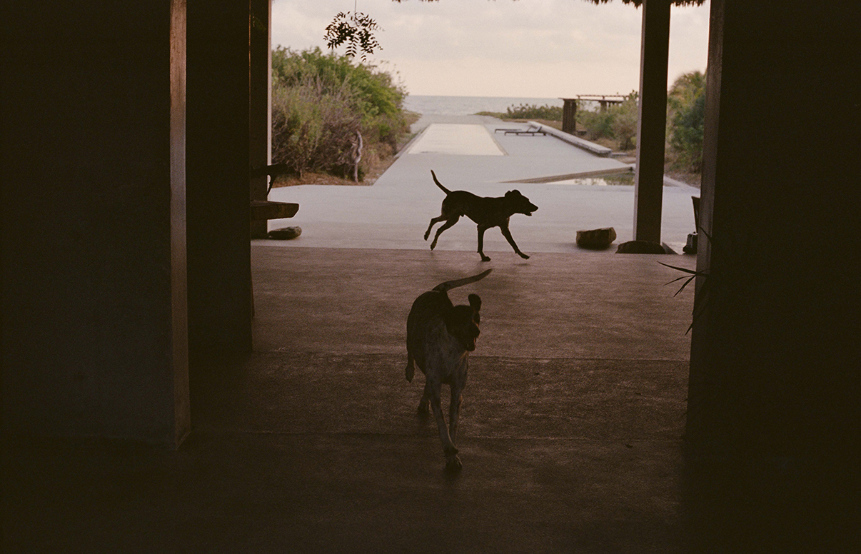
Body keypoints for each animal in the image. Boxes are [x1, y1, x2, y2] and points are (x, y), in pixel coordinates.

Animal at [404, 268, 490, 470]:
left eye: (477, 318)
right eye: (460, 319)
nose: (476, 331)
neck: (453, 351)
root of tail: (438, 292)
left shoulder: (457, 391)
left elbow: (453, 424)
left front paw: (453, 454)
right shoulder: (437, 388)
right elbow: (442, 423)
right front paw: (449, 449)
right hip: (410, 333)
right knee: (410, 352)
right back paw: (409, 371)